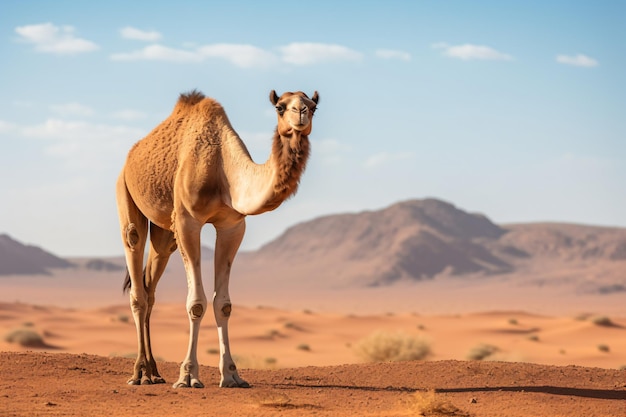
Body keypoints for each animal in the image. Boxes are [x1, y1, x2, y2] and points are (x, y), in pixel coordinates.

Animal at [116, 88, 316, 386]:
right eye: (280, 106)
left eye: (314, 106)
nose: (300, 113)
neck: (223, 171)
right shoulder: (187, 221)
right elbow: (196, 303)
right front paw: (188, 376)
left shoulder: (232, 226)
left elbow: (224, 305)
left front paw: (232, 375)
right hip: (126, 193)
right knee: (135, 264)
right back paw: (139, 373)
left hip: (165, 231)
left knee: (151, 285)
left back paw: (154, 371)